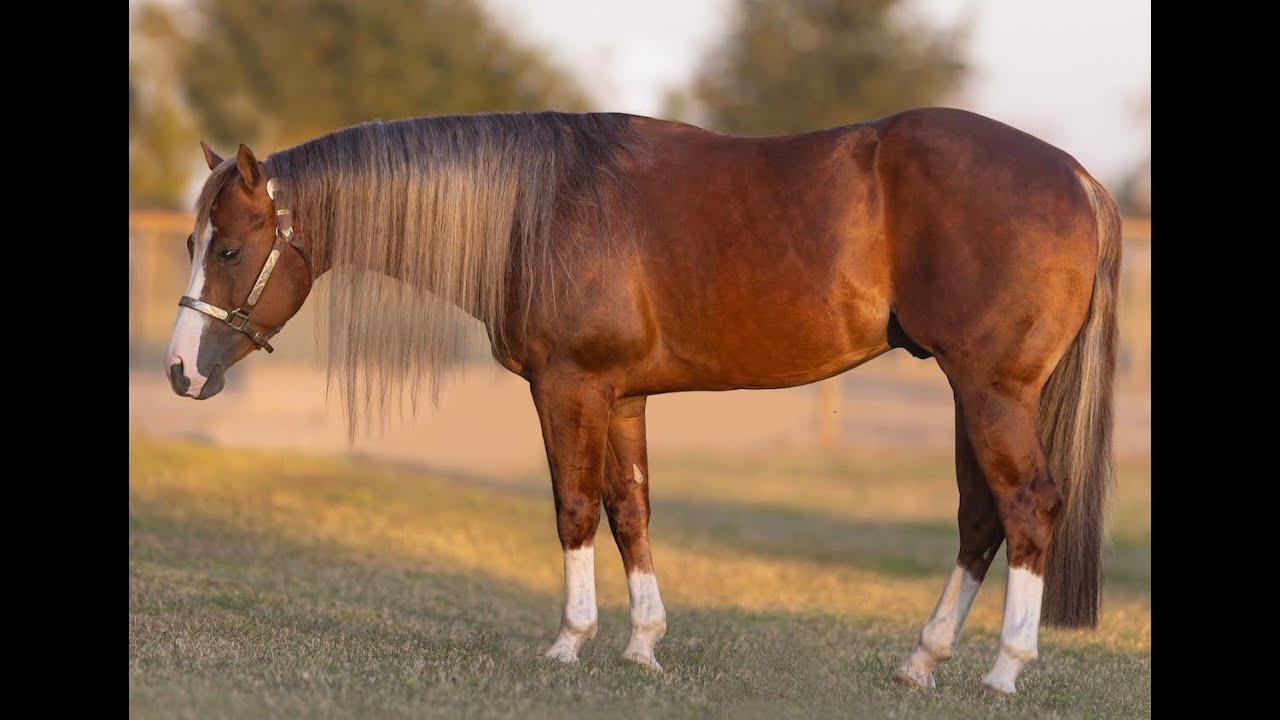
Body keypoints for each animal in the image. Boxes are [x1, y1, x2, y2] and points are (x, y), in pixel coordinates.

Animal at [164, 107, 1118, 695]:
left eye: (232, 247)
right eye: (191, 242)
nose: (178, 371)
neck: (540, 209)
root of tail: (1076, 175)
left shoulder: (569, 386)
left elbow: (574, 507)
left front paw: (569, 642)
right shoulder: (623, 397)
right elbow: (630, 508)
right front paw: (643, 646)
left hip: (991, 391)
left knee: (1028, 506)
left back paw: (1004, 669)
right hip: (970, 391)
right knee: (980, 517)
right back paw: (920, 663)